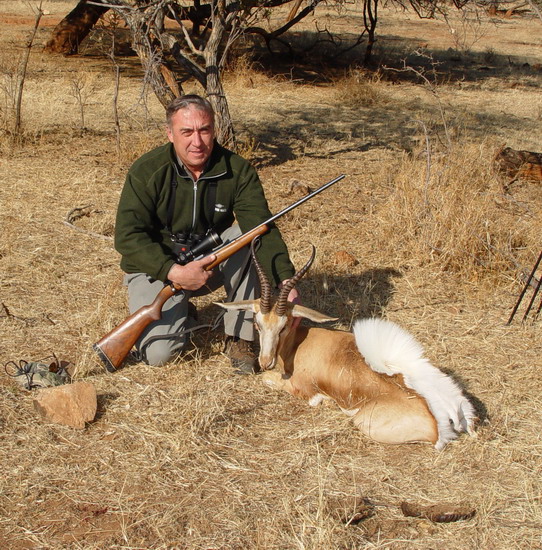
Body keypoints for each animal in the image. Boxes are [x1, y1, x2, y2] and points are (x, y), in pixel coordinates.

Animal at [217, 241, 476, 450]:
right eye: (257, 323)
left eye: (284, 325)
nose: (265, 361)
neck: (299, 343)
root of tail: (439, 418)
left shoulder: (301, 387)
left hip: (362, 421)